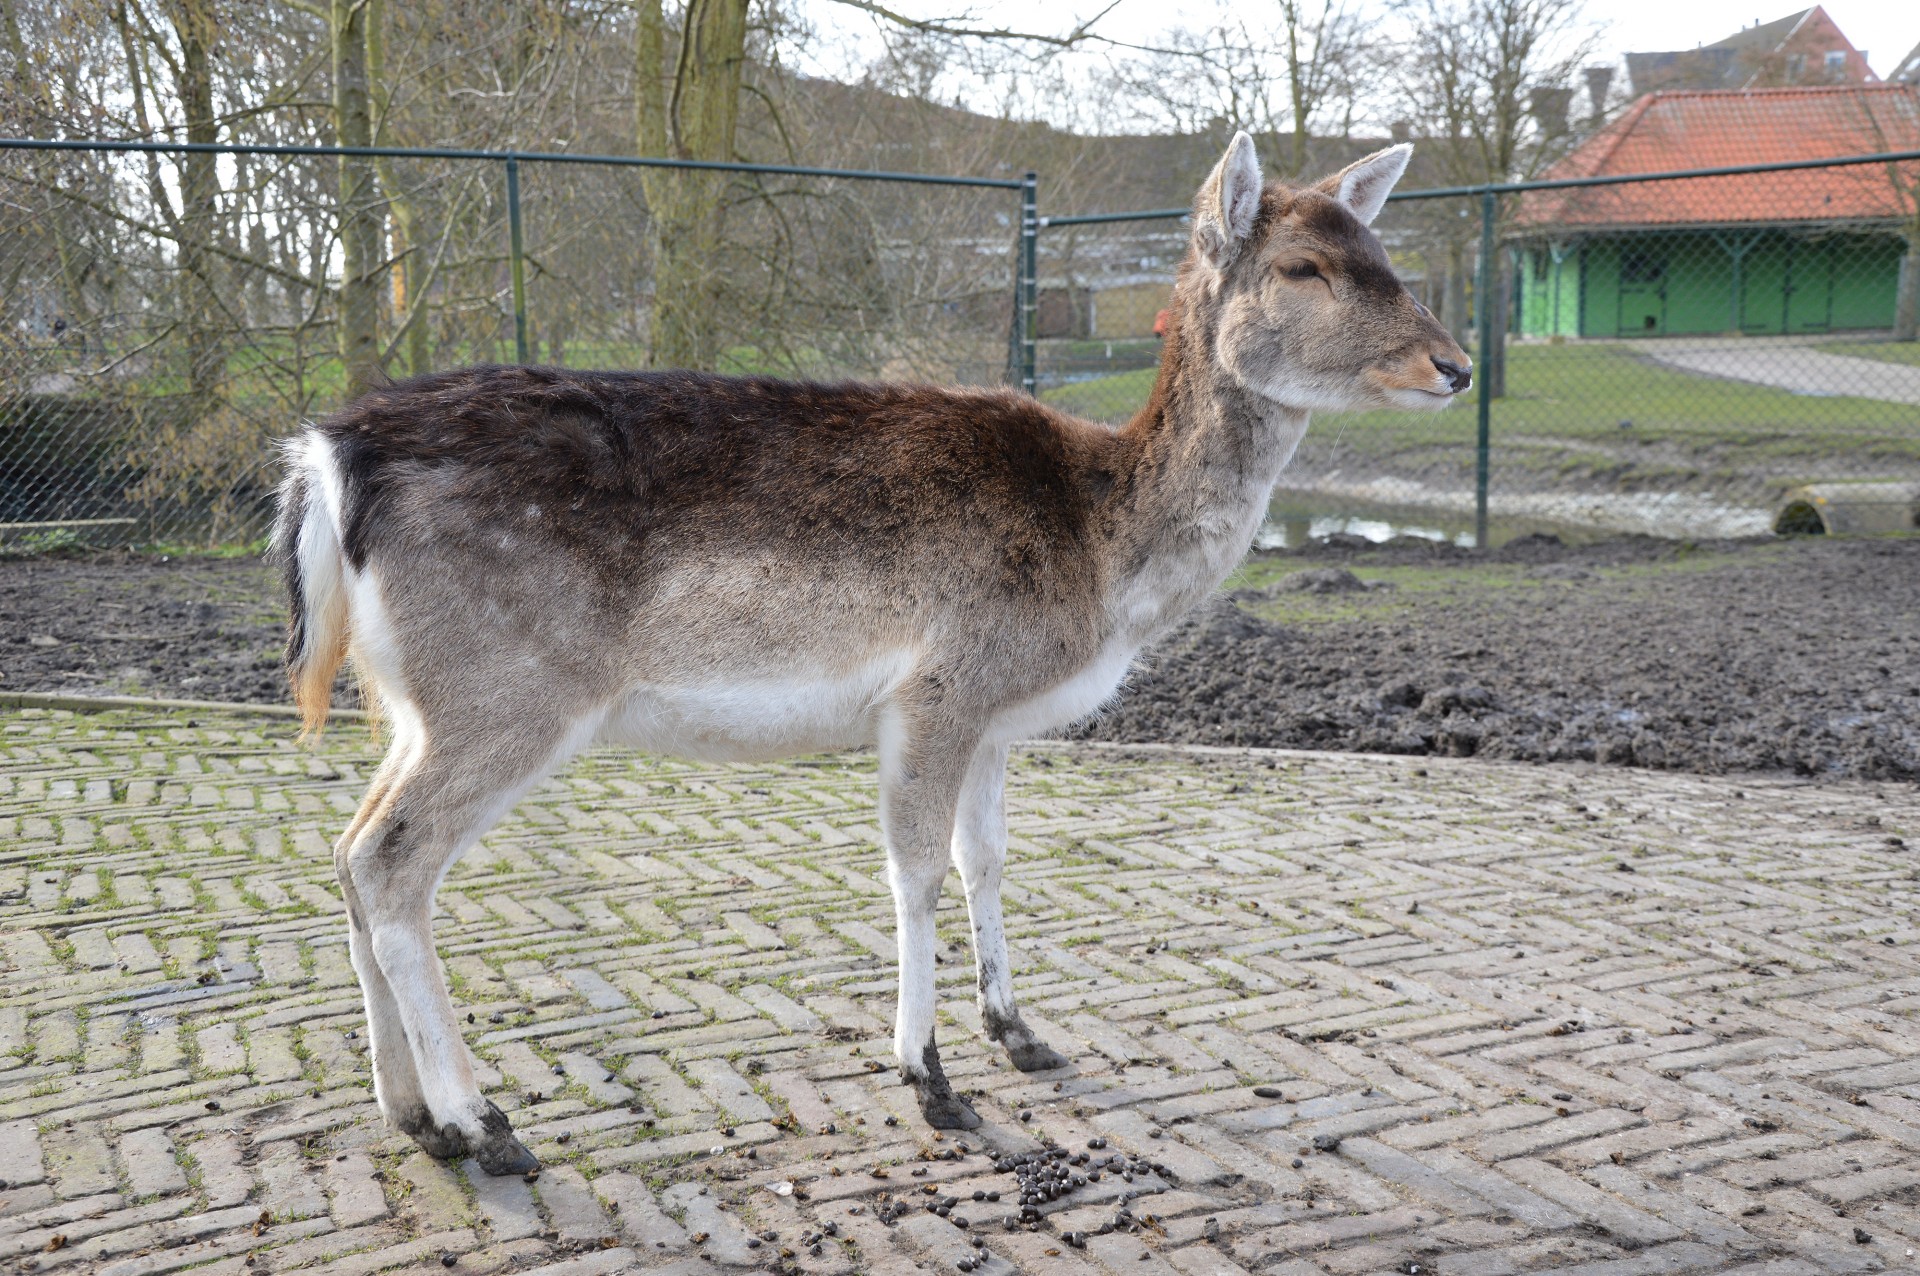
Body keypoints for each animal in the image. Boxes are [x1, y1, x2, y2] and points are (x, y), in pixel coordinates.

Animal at [274, 131, 1466, 1174]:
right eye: (1305, 265)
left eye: (1383, 251)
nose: (1451, 364)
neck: (1101, 556)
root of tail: (328, 460)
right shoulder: (937, 686)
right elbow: (916, 869)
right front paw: (931, 1080)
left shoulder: (997, 718)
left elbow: (988, 858)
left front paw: (1020, 1034)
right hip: (507, 690)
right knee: (391, 863)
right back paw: (483, 1124)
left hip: (418, 702)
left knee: (346, 847)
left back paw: (410, 1116)